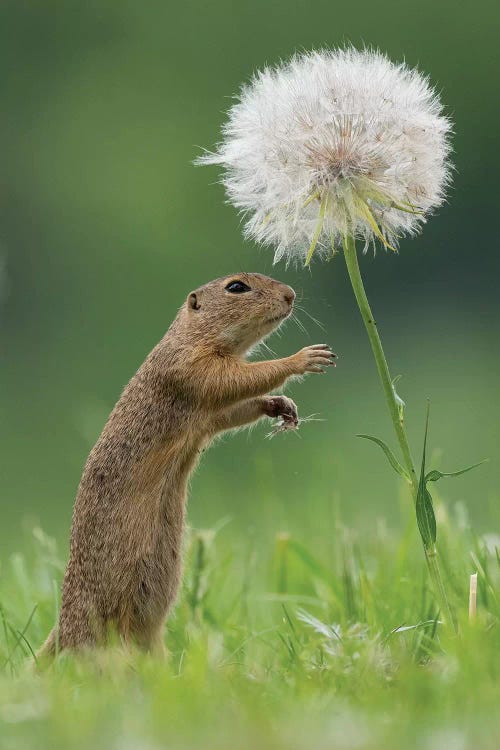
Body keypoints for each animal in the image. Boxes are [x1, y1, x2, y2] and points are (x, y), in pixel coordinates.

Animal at [39, 272, 336, 656]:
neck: (191, 335)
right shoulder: (191, 367)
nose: (290, 295)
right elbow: (236, 379)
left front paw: (280, 405)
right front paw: (305, 358)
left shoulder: (207, 415)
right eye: (236, 287)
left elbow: (231, 409)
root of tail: (63, 627)